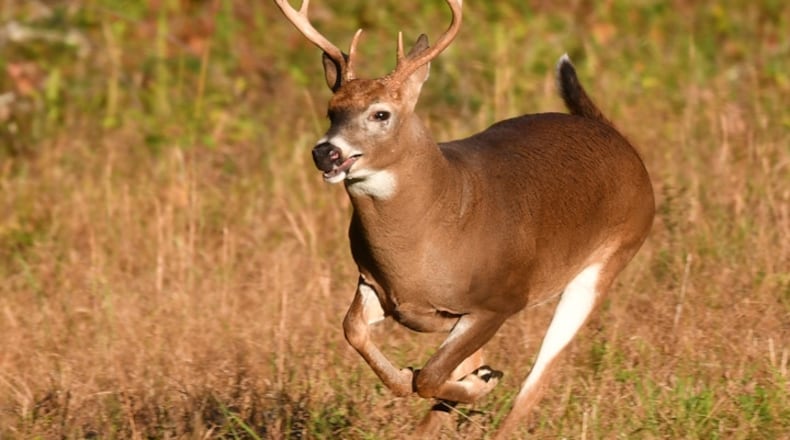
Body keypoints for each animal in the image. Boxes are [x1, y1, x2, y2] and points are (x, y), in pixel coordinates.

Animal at [273, 0, 654, 437]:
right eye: (331, 111)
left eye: (381, 114)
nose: (325, 152)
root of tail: (616, 137)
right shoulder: (376, 283)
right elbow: (354, 331)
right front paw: (429, 378)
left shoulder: (500, 300)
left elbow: (429, 375)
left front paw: (476, 381)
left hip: (606, 262)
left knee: (534, 385)